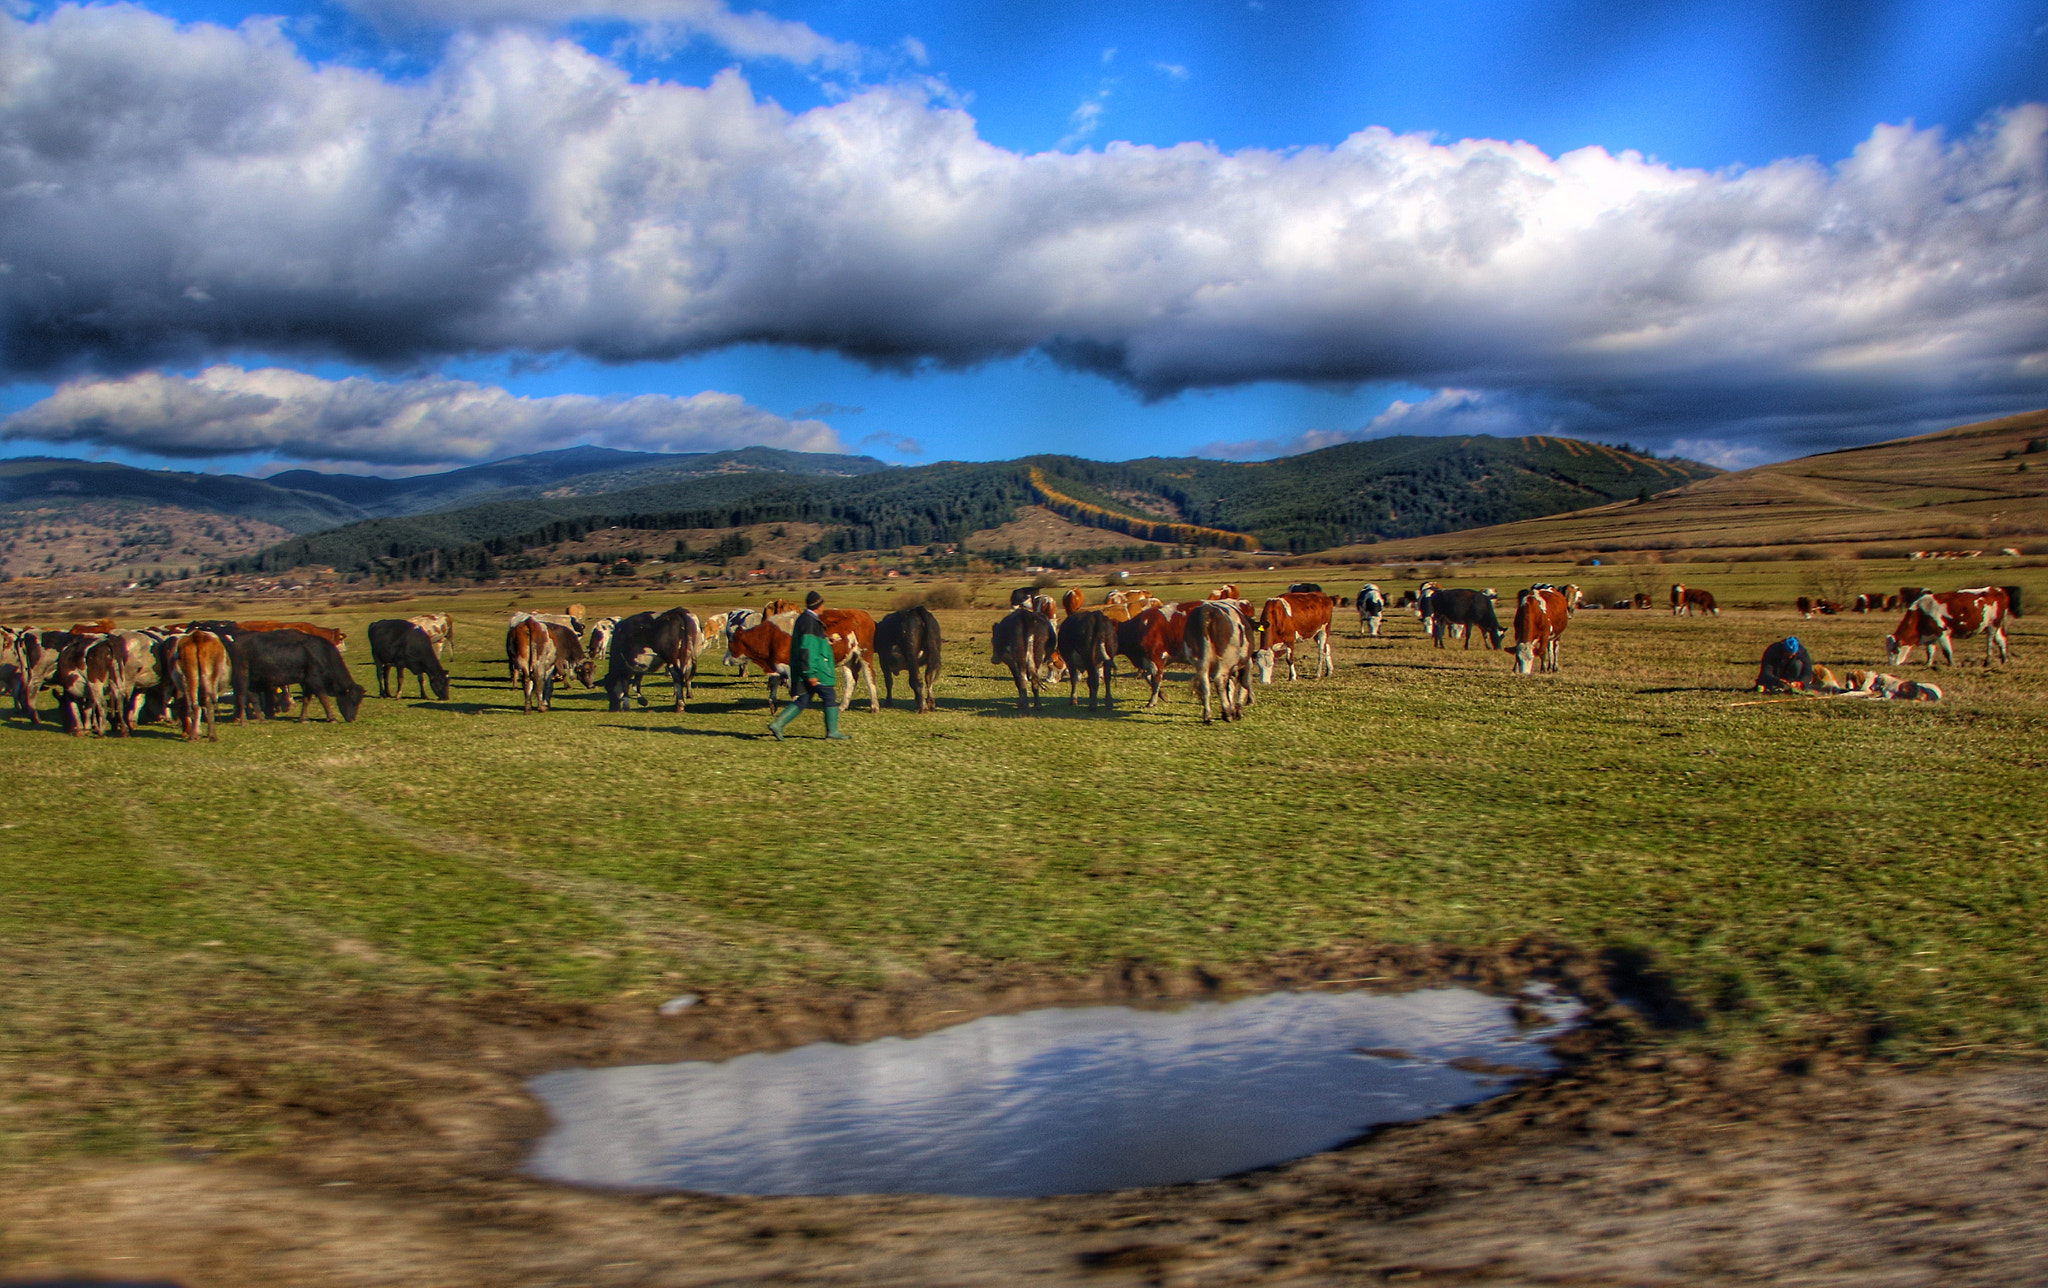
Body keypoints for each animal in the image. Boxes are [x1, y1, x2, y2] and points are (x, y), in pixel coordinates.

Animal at [229, 630, 364, 724]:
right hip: (242, 676)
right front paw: (332, 718)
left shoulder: (307, 682)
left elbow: (306, 700)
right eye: (352, 699)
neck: (322, 654)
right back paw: (244, 721)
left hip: (253, 680)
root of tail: (237, 641)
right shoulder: (314, 680)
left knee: (253, 697)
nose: (352, 719)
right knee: (241, 697)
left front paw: (303, 719)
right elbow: (324, 698)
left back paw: (262, 719)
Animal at [1875, 581, 2007, 663]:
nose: (1891, 665)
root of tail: (1997, 589)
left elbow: (1947, 651)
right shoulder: (1930, 635)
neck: (1922, 612)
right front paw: (1928, 663)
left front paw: (1951, 664)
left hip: (1992, 626)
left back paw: (1988, 661)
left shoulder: (1943, 633)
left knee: (1990, 642)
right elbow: (1930, 651)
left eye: (1895, 650)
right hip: (1998, 626)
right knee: (2002, 641)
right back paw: (2004, 659)